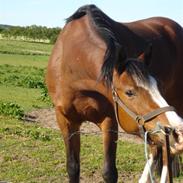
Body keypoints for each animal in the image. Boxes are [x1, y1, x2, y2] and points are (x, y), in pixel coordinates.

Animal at [46, 4, 183, 183]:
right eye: (129, 92)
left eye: (158, 86)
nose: (176, 131)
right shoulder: (66, 120)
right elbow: (73, 168)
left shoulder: (109, 120)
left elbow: (109, 172)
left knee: (166, 152)